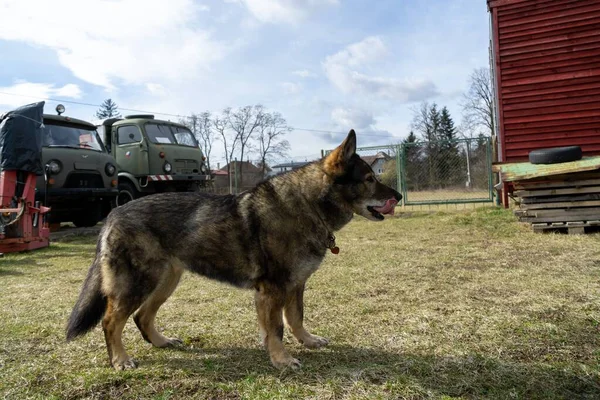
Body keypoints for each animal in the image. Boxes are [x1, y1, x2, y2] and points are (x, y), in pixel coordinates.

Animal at [65, 130, 400, 370]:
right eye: (369, 179)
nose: (397, 196)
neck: (308, 205)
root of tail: (113, 213)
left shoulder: (295, 286)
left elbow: (296, 318)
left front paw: (307, 341)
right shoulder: (272, 291)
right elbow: (277, 328)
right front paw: (281, 360)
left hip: (165, 282)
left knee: (141, 318)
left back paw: (161, 342)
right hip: (138, 284)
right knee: (111, 321)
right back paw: (120, 361)